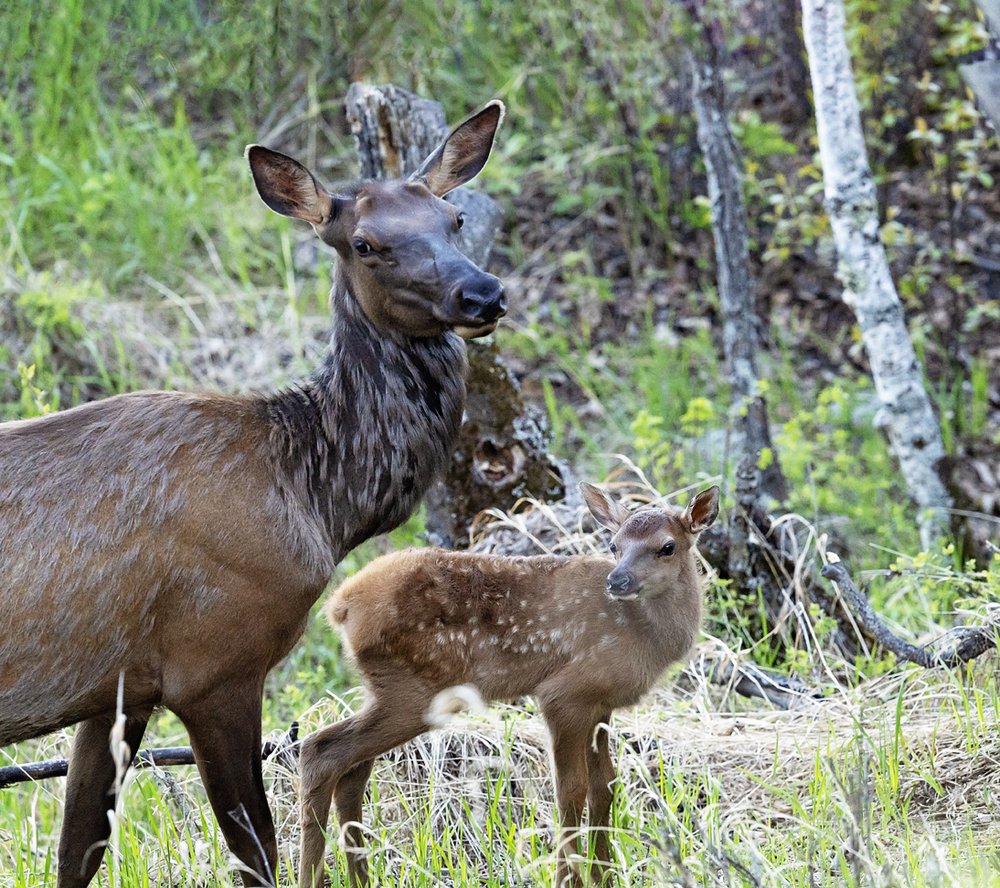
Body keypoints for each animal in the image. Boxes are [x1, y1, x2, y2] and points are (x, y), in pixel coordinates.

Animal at [0, 100, 508, 884]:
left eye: (453, 217)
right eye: (365, 243)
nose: (482, 293)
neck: (315, 498)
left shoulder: (117, 690)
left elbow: (78, 848)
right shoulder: (215, 664)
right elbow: (256, 851)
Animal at [296, 482, 720, 888]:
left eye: (667, 546)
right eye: (614, 544)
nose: (618, 580)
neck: (641, 632)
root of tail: (341, 605)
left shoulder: (601, 704)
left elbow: (605, 788)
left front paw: (605, 876)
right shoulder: (564, 694)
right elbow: (570, 792)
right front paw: (570, 879)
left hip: (386, 690)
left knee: (352, 769)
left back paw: (358, 877)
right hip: (413, 690)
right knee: (321, 751)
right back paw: (311, 877)